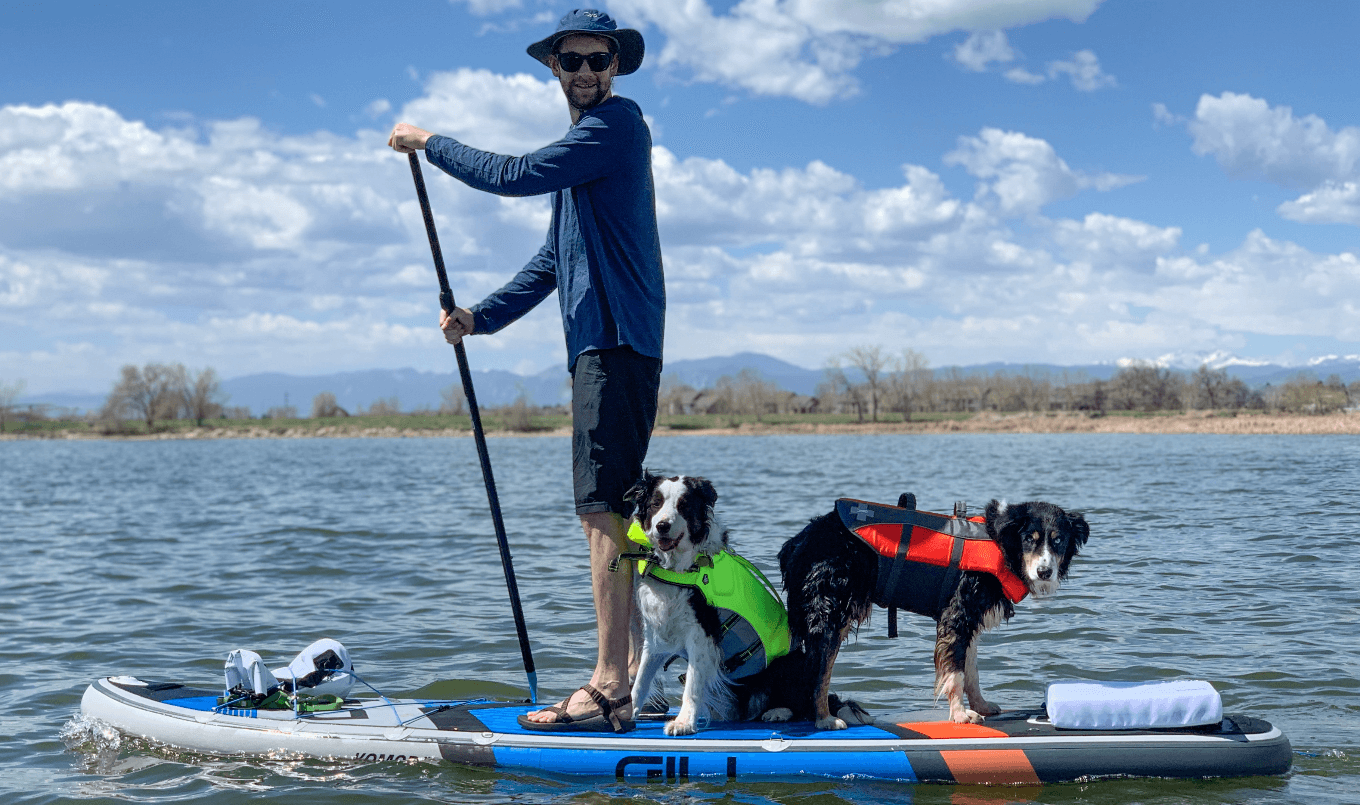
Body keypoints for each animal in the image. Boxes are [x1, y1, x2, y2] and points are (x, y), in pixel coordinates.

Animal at [783, 494, 1088, 728]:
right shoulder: (957, 615)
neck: (1000, 545)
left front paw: (980, 705)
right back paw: (824, 718)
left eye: (1058, 540)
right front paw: (960, 714)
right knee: (818, 672)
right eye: (1029, 538)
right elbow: (956, 673)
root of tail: (800, 541)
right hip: (829, 614)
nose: (1045, 572)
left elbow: (971, 670)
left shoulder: (971, 621)